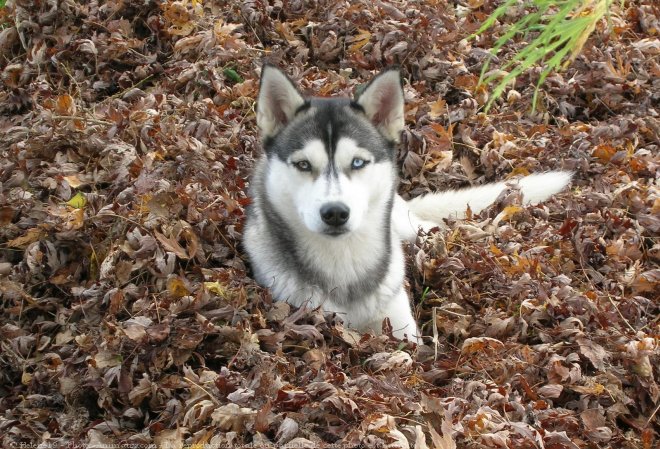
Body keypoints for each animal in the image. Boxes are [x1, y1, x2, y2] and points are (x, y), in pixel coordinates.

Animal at [244, 65, 572, 342]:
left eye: (358, 162)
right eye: (303, 164)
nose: (335, 213)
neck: (344, 264)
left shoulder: (402, 328)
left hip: (411, 228)